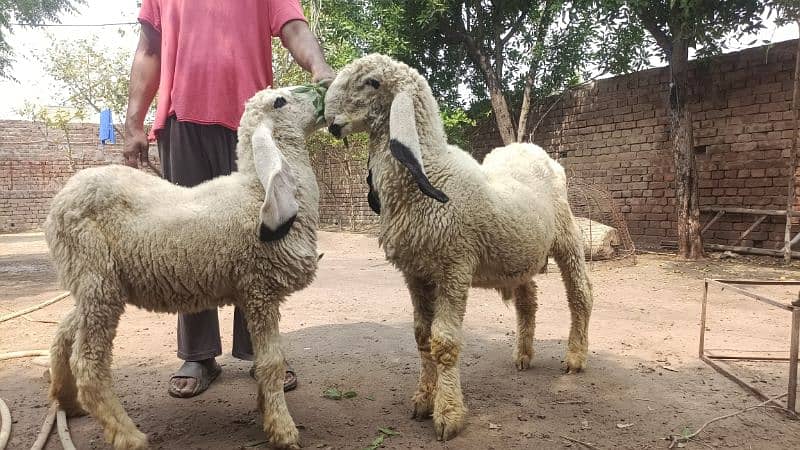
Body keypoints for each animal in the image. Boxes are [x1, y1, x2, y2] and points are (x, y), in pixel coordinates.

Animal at [324, 54, 592, 442]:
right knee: (528, 299)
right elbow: (422, 337)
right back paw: (523, 354)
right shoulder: (415, 273)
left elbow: (444, 343)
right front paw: (423, 399)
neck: (432, 174)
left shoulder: (454, 266)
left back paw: (575, 357)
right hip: (517, 253)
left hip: (567, 234)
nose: (331, 123)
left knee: (580, 294)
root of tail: (528, 147)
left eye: (372, 82)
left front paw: (448, 413)